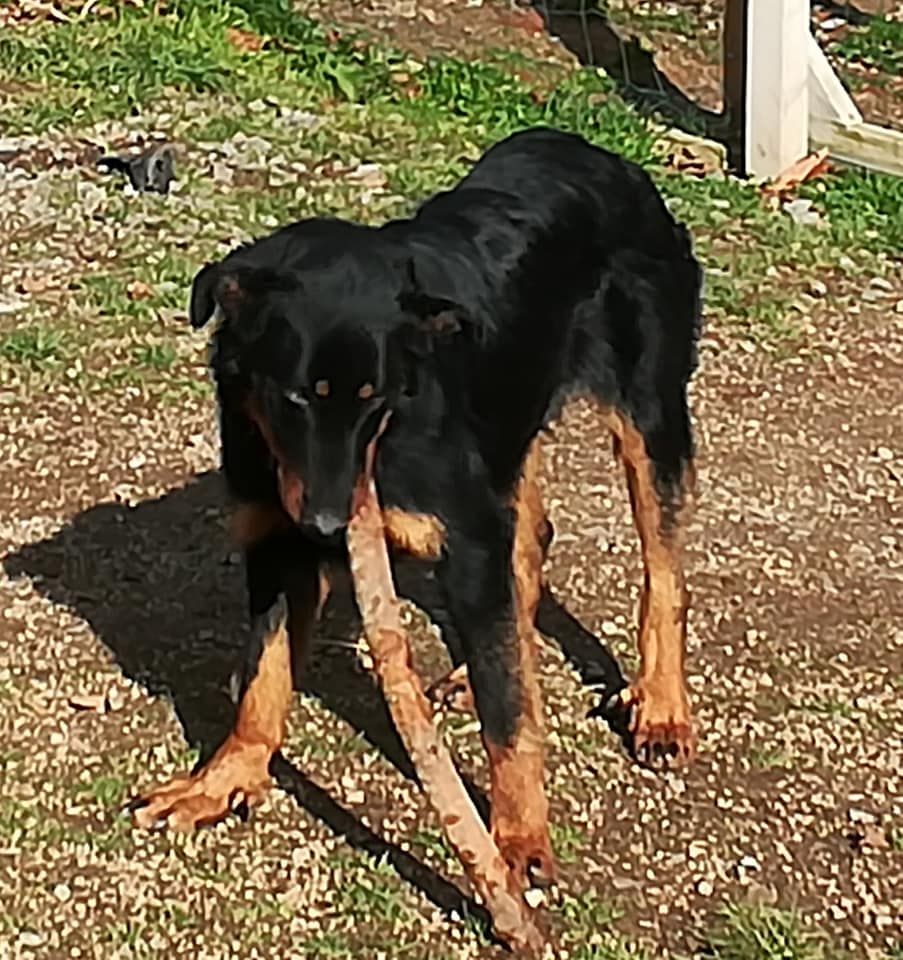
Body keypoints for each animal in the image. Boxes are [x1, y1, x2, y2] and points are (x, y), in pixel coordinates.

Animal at [131, 127, 704, 892]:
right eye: (292, 396)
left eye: (373, 397)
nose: (327, 527)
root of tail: (599, 153)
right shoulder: (281, 546)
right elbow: (263, 676)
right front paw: (226, 780)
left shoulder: (464, 541)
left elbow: (510, 721)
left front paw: (516, 842)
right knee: (533, 537)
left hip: (647, 415)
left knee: (661, 572)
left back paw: (661, 707)